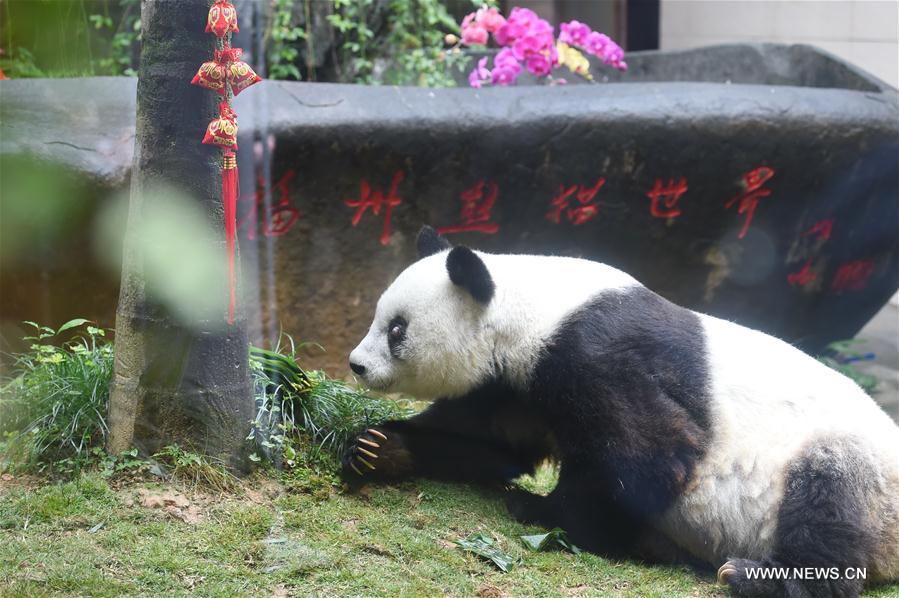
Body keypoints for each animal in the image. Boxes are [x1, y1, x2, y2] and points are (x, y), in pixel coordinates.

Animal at [342, 226, 896, 598]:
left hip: (861, 473)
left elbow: (650, 454)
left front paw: (541, 511)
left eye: (396, 329)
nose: (356, 364)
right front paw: (377, 448)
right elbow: (491, 443)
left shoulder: (599, 355)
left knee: (827, 502)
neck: (533, 309)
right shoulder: (515, 385)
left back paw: (753, 575)